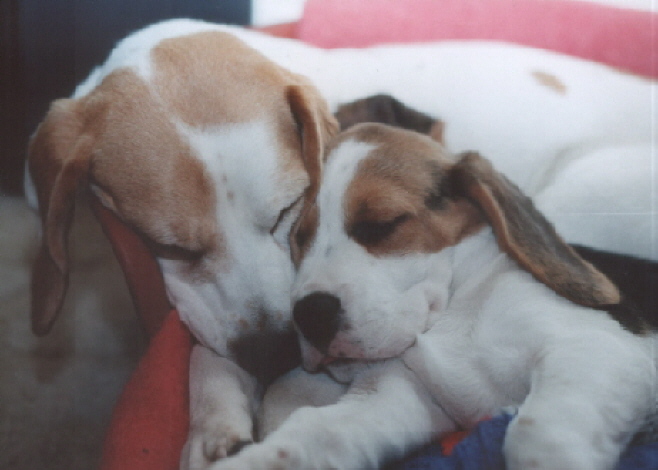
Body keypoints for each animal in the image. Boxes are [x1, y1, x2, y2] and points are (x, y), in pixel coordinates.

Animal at [213, 122, 652, 470]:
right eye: (297, 239)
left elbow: (535, 435)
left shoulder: (593, 347)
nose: (309, 316)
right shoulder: (399, 395)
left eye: (381, 225)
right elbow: (311, 434)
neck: (455, 309)